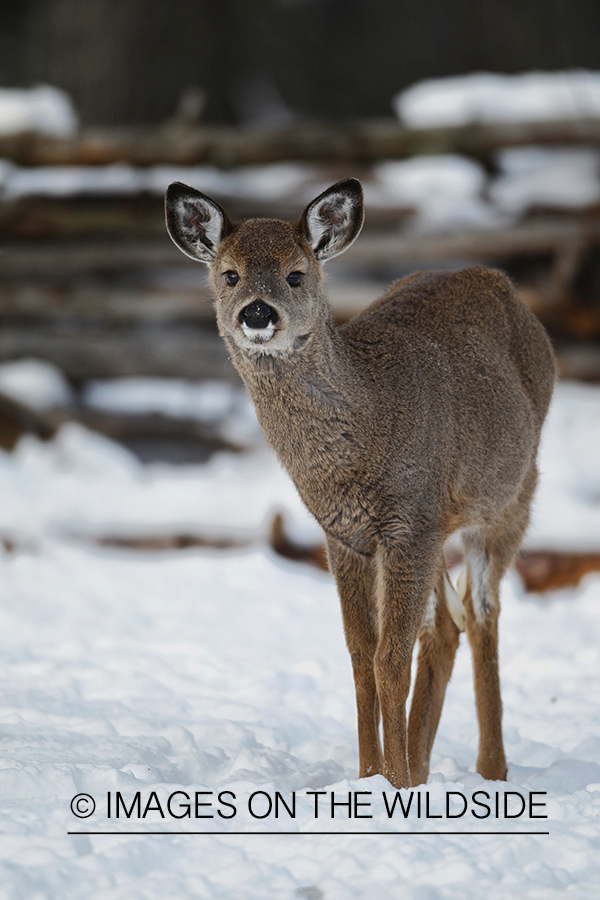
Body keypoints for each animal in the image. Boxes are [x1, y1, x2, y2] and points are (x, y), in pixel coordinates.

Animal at [165, 178, 556, 788]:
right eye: (229, 274)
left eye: (296, 273)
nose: (257, 312)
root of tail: (500, 282)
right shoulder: (347, 535)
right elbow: (359, 656)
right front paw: (374, 776)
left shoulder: (408, 523)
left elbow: (389, 659)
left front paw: (391, 784)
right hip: (439, 527)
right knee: (445, 627)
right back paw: (423, 768)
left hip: (513, 495)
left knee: (482, 614)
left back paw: (490, 770)